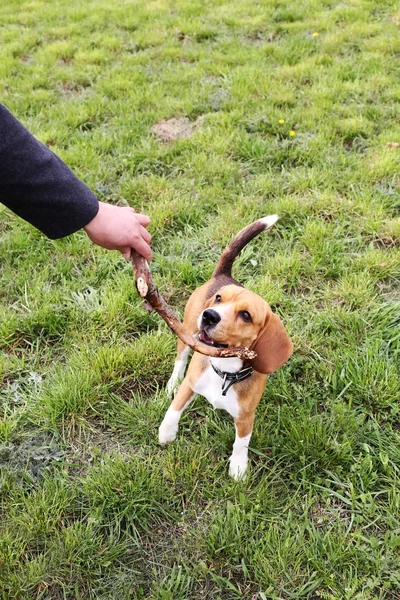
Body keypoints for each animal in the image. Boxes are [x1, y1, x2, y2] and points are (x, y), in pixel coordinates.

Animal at [159, 216, 294, 478]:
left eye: (245, 315)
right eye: (219, 299)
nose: (209, 315)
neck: (224, 370)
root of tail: (224, 275)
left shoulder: (246, 416)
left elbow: (241, 443)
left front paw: (238, 467)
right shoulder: (191, 384)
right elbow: (175, 408)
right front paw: (166, 432)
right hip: (185, 333)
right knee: (180, 360)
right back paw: (172, 382)